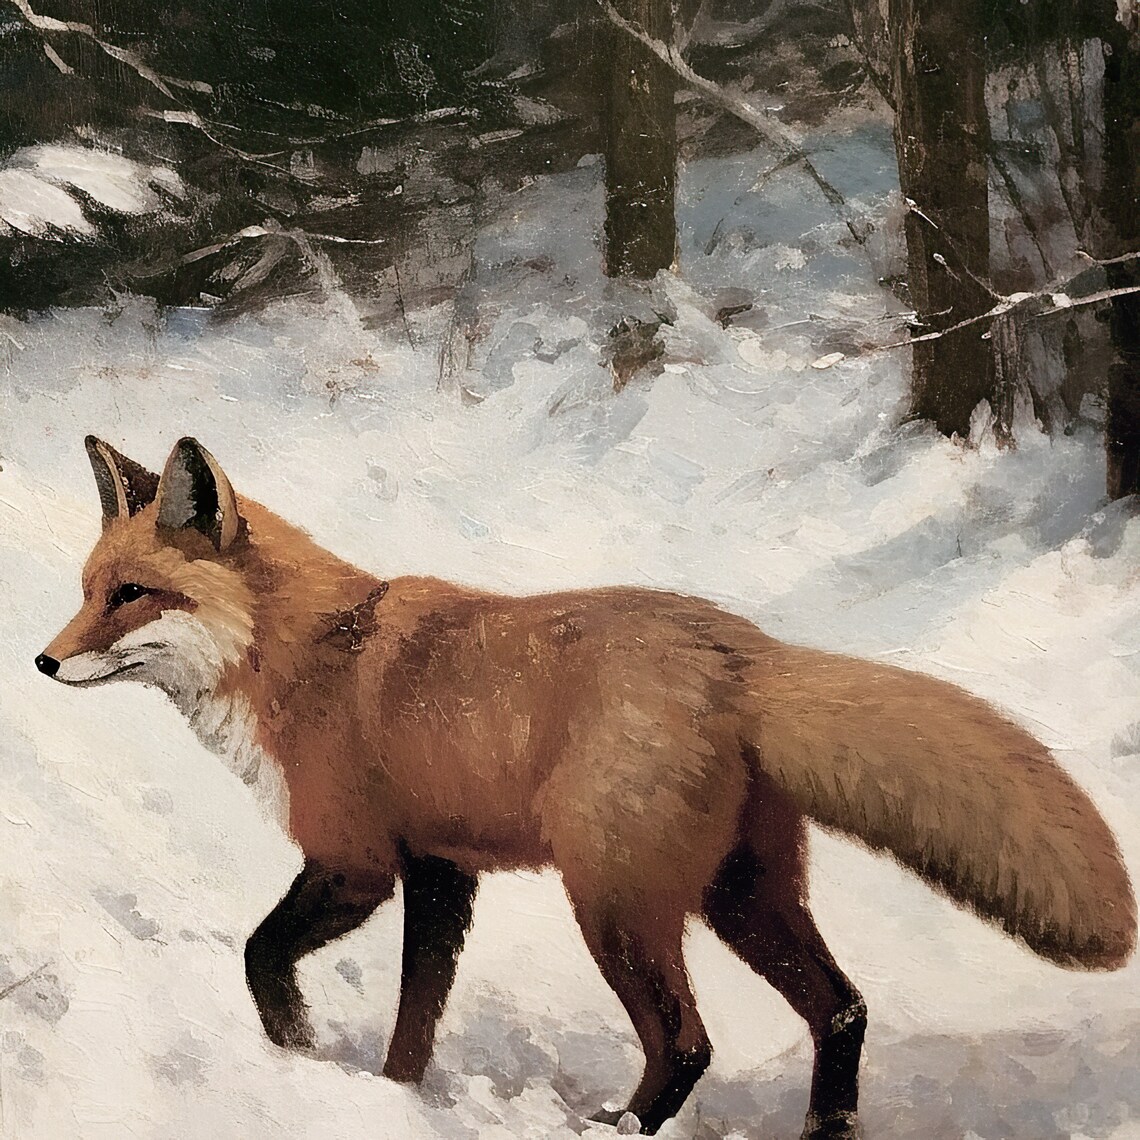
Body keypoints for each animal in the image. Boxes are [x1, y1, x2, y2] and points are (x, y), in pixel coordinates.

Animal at [36, 435, 1135, 1138]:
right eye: (87, 591)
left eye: (132, 596)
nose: (43, 663)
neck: (304, 657)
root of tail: (744, 651)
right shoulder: (441, 873)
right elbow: (414, 1022)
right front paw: (394, 1098)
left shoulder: (355, 862)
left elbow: (262, 956)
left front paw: (297, 1053)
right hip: (741, 897)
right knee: (844, 1011)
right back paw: (828, 1129)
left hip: (613, 904)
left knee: (689, 1044)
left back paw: (620, 1126)